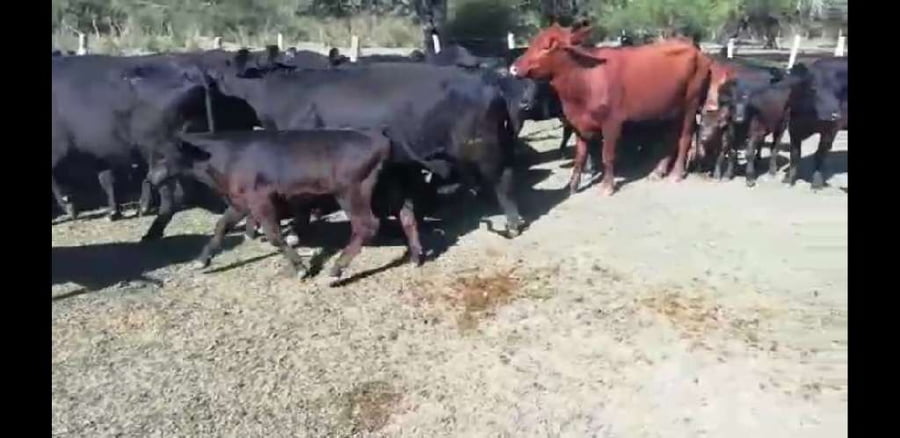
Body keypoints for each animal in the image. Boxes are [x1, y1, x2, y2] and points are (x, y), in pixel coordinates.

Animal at [148, 129, 403, 280]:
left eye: (163, 156)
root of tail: (378, 137)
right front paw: (202, 260)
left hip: (351, 193)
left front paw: (300, 268)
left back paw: (336, 269)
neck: (229, 156)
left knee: (366, 225)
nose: (150, 178)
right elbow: (221, 227)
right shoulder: (240, 202)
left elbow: (273, 235)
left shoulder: (261, 199)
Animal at [510, 22, 713, 196]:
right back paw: (658, 171)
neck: (585, 79)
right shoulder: (579, 125)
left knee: (685, 137)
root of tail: (697, 51)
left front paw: (607, 186)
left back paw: (676, 174)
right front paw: (573, 186)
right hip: (671, 108)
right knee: (671, 137)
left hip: (691, 103)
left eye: (548, 46)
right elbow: (580, 157)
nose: (513, 68)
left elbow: (607, 155)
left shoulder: (612, 122)